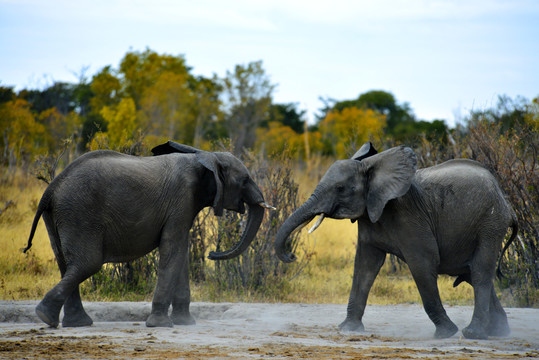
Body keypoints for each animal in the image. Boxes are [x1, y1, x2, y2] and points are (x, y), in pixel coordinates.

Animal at [23, 141, 276, 330]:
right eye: (245, 180)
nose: (212, 254)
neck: (203, 157)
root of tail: (51, 187)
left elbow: (180, 254)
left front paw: (185, 324)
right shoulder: (181, 200)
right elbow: (172, 250)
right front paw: (162, 325)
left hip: (59, 215)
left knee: (66, 264)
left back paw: (71, 322)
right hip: (79, 214)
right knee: (87, 263)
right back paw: (47, 317)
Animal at [278, 142, 520, 338]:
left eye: (340, 188)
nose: (292, 255)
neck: (372, 168)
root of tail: (507, 204)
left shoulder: (410, 218)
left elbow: (422, 265)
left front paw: (446, 333)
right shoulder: (370, 215)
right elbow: (365, 266)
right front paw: (348, 329)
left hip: (490, 225)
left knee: (480, 273)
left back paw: (473, 334)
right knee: (473, 273)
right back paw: (498, 332)